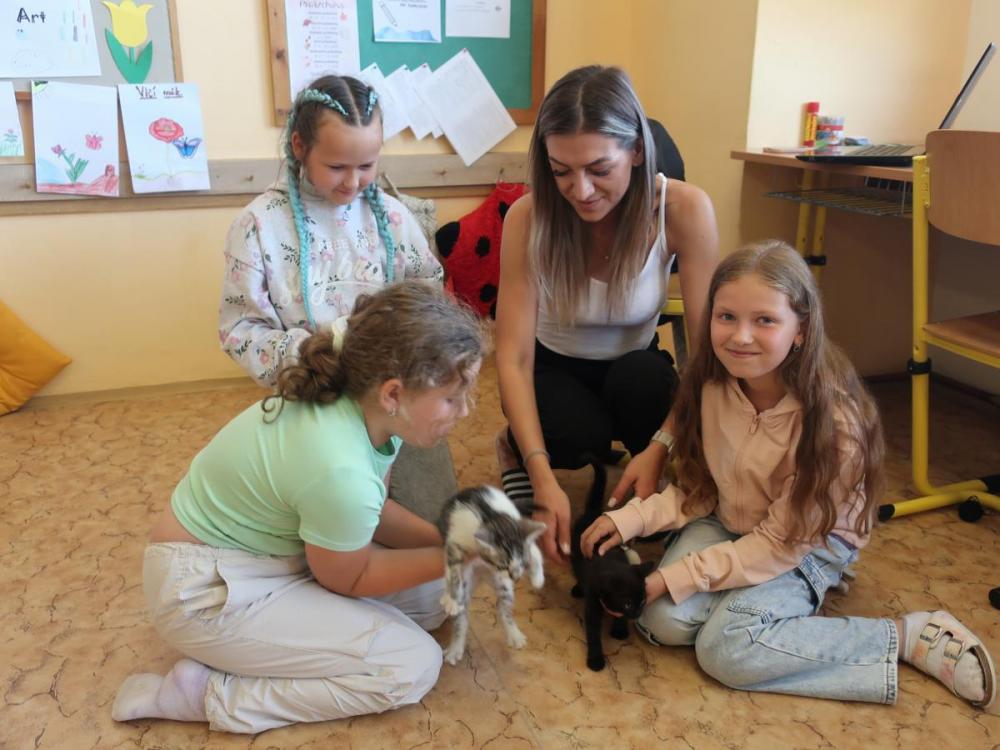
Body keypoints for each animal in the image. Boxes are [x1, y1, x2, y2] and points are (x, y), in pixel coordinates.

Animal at [437, 485, 546, 665]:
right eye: (503, 565)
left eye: (522, 564)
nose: (515, 577)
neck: (490, 516)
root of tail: (482, 575)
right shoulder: (454, 541)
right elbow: (453, 570)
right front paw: (452, 598)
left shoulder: (520, 530)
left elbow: (535, 551)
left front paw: (537, 578)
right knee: (462, 618)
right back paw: (455, 646)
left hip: (502, 584)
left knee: (502, 607)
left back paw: (513, 634)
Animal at [571, 455, 655, 672]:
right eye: (627, 603)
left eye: (642, 600)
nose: (637, 613)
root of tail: (594, 512)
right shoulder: (593, 605)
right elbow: (593, 634)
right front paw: (595, 660)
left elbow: (618, 618)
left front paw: (619, 629)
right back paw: (578, 589)